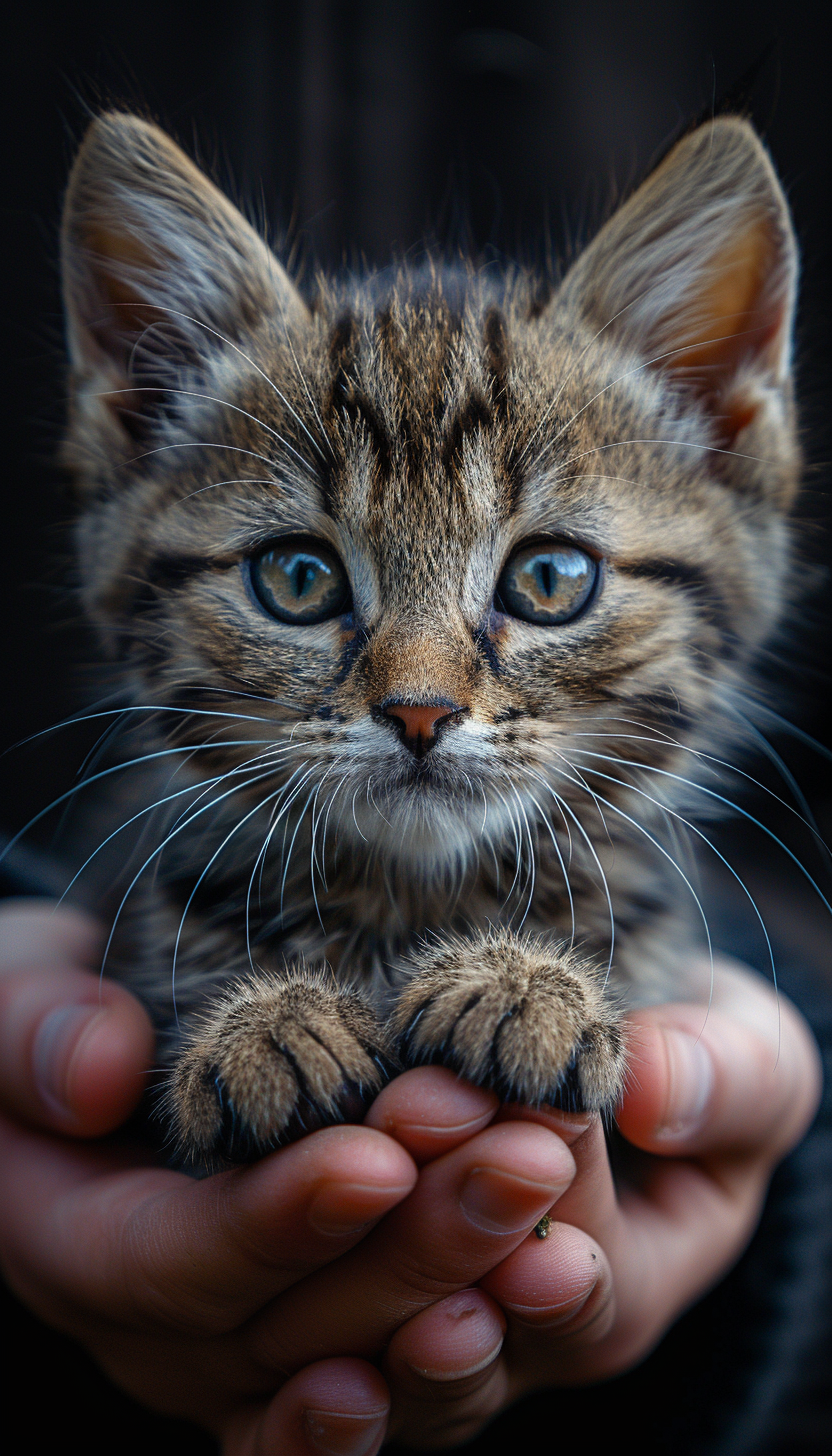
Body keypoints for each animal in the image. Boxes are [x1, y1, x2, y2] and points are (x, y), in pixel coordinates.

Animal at [58, 107, 798, 1164]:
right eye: (297, 579)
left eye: (549, 580)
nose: (419, 712)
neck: (413, 905)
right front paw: (269, 1025)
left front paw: (524, 983)